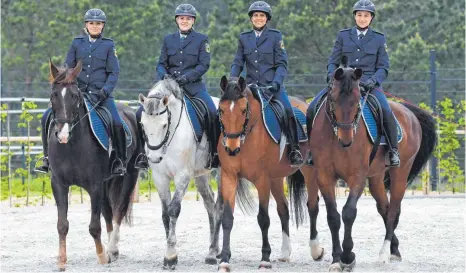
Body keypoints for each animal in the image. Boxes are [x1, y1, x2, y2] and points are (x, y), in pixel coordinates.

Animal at [47, 59, 142, 270]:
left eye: (75, 96)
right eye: (53, 95)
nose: (62, 134)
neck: (72, 145)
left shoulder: (95, 186)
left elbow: (94, 226)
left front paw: (101, 256)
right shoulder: (59, 184)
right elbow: (62, 224)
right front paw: (61, 260)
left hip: (130, 175)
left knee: (118, 211)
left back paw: (112, 249)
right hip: (107, 182)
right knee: (108, 211)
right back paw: (111, 250)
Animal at [218, 75, 324, 270]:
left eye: (243, 110)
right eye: (221, 110)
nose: (231, 148)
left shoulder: (261, 180)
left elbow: (263, 218)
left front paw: (265, 258)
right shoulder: (229, 176)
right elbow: (227, 218)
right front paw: (224, 260)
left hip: (309, 172)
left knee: (312, 206)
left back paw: (316, 250)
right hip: (276, 178)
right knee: (284, 210)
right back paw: (285, 253)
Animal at [310, 65, 436, 270]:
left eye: (357, 102)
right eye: (333, 99)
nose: (346, 139)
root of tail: (408, 111)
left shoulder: (357, 177)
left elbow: (348, 213)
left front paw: (348, 257)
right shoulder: (324, 177)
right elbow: (333, 217)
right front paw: (336, 260)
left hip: (400, 172)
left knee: (393, 211)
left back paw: (384, 253)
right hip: (376, 177)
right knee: (384, 207)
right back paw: (394, 249)